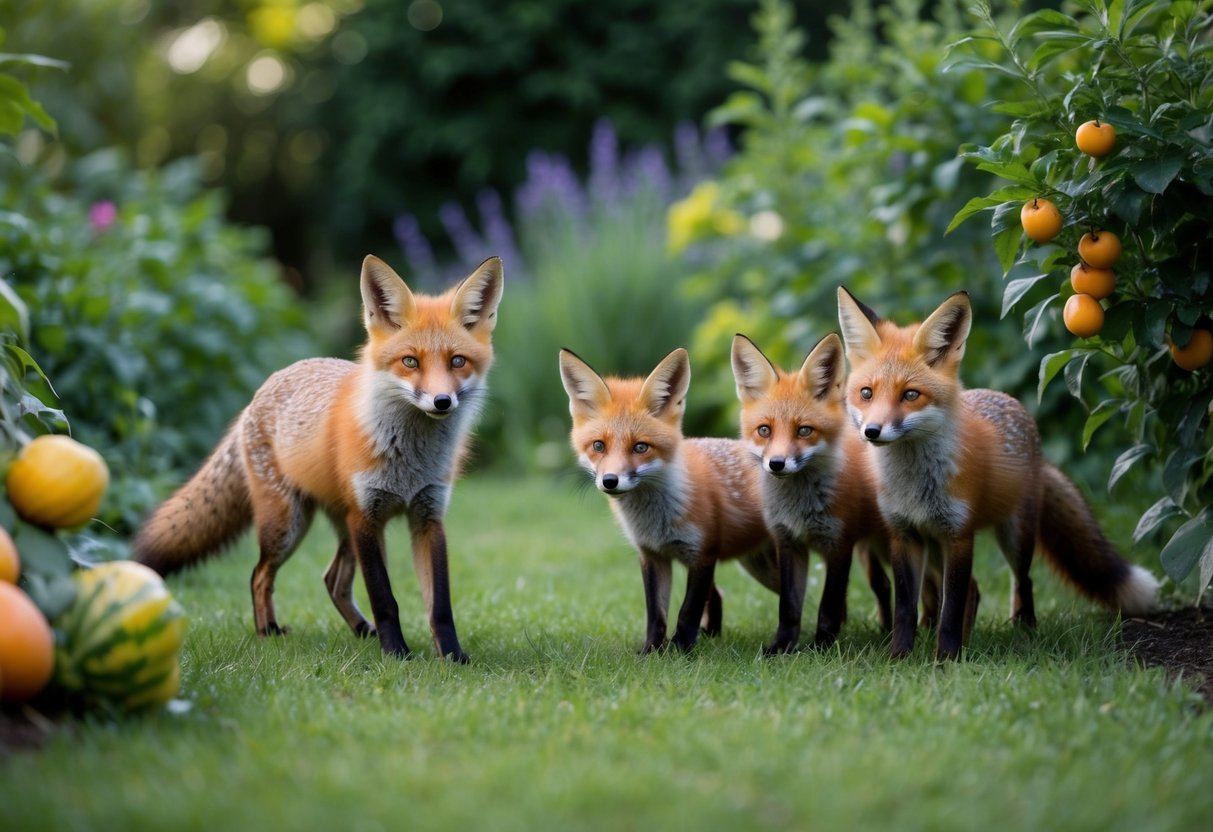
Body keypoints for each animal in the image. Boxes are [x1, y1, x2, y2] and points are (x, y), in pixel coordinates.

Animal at [133, 255, 504, 662]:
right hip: (290, 525)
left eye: (457, 361)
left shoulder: (427, 516)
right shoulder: (366, 517)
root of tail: (262, 390)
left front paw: (452, 656)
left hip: (343, 527)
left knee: (332, 580)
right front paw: (396, 654)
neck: (409, 461)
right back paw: (268, 631)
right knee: (259, 575)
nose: (442, 402)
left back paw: (361, 631)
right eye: (410, 361)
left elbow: (440, 604)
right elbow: (384, 599)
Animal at [559, 347, 783, 654]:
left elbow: (688, 610)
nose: (610, 481)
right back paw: (713, 635)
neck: (657, 520)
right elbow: (656, 612)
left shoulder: (702, 554)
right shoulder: (653, 555)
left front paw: (681, 650)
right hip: (756, 565)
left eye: (640, 447)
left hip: (767, 567)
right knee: (720, 595)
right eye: (598, 446)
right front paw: (651, 651)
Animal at [731, 333, 980, 652]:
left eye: (804, 431)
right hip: (886, 548)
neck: (801, 507)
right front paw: (781, 648)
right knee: (904, 588)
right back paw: (903, 630)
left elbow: (828, 605)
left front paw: (821, 649)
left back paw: (957, 638)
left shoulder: (839, 544)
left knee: (964, 588)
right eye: (764, 430)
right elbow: (788, 608)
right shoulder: (788, 543)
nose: (777, 464)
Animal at [836, 287, 1159, 660]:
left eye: (910, 395)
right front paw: (899, 657)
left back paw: (1024, 631)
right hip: (935, 548)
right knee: (975, 590)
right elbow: (905, 608)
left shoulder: (959, 536)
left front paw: (946, 659)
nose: (872, 431)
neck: (915, 486)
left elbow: (951, 609)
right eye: (867, 393)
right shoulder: (904, 535)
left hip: (1014, 536)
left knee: (1022, 581)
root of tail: (1009, 400)